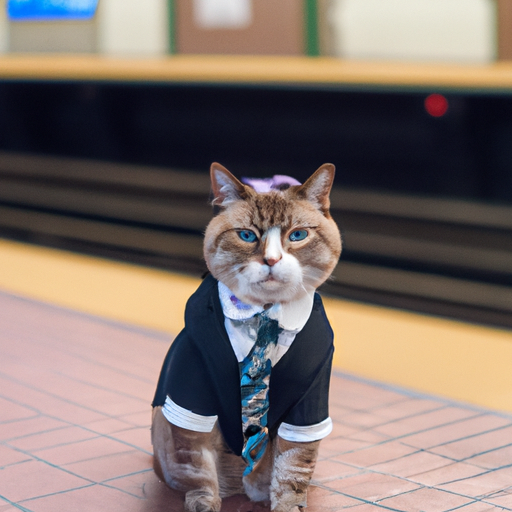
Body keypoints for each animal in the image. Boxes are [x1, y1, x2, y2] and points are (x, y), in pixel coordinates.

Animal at [152, 162, 344, 510]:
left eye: (298, 235)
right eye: (246, 235)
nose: (271, 260)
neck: (265, 315)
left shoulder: (308, 405)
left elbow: (292, 470)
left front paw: (287, 503)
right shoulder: (193, 395)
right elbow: (198, 469)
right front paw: (203, 502)